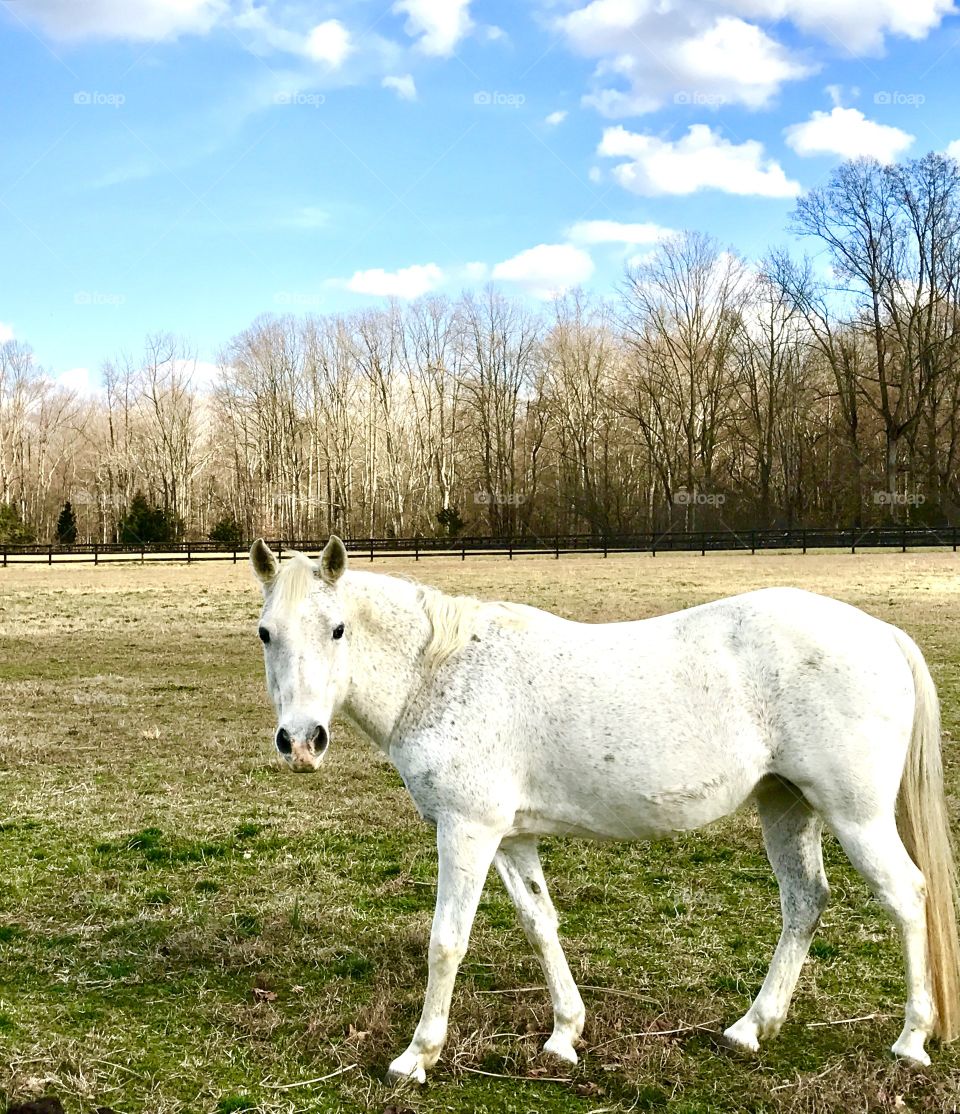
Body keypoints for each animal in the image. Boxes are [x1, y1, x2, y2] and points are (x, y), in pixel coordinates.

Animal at [249, 534, 960, 1082]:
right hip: (786, 805)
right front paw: (565, 1035)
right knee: (806, 902)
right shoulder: (510, 839)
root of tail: (882, 634)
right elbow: (541, 924)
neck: (441, 671)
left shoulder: (467, 831)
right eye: (265, 634)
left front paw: (416, 1057)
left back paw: (910, 1040)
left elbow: (447, 941)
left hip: (856, 816)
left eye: (338, 629)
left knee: (906, 896)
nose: (302, 742)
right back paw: (751, 1028)